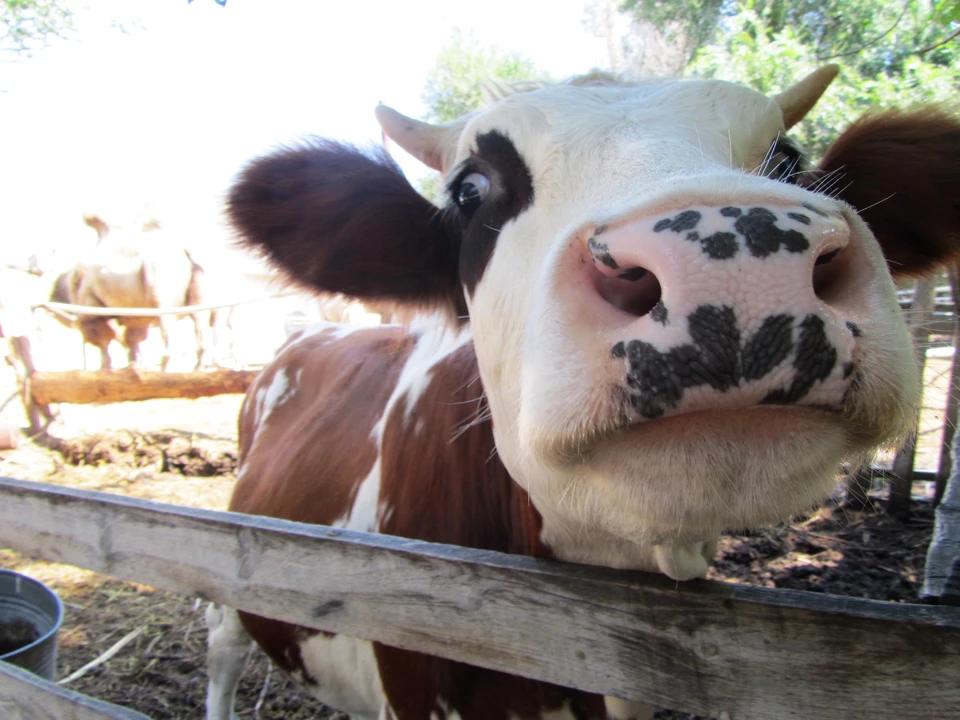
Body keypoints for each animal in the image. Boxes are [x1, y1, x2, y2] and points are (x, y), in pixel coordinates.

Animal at [51, 214, 216, 372]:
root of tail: (185, 253)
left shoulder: (92, 305)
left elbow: (105, 339)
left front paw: (105, 369)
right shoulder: (134, 312)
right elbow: (133, 338)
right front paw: (133, 367)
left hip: (157, 270)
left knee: (164, 314)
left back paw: (165, 370)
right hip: (195, 273)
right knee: (199, 314)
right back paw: (196, 369)